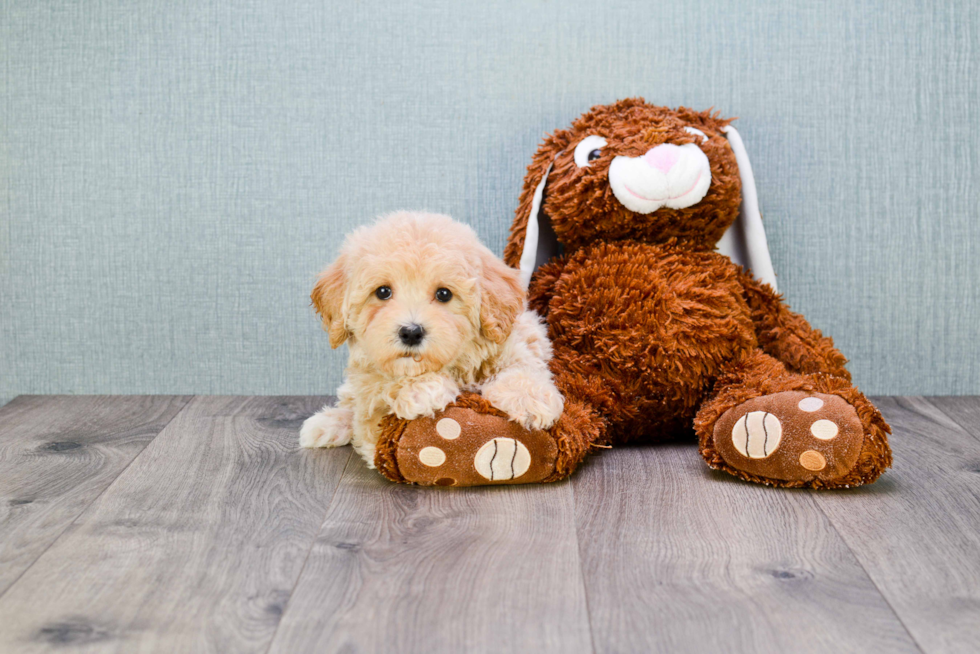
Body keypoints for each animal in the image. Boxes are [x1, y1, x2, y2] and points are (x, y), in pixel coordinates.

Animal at [298, 210, 564, 466]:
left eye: (444, 294)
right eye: (382, 292)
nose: (411, 332)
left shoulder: (519, 338)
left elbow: (522, 365)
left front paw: (528, 399)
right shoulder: (370, 406)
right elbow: (379, 390)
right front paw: (421, 391)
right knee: (349, 403)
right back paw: (325, 424)